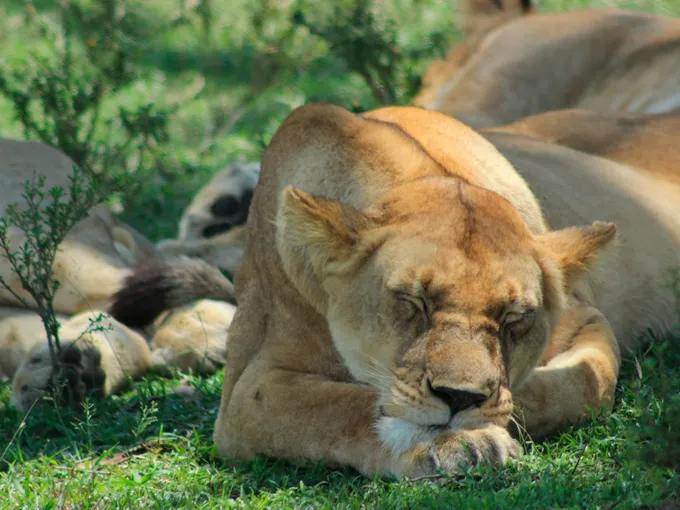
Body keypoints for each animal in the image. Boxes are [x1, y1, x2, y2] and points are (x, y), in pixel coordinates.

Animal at [108, 103, 680, 478]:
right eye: (412, 302)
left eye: (514, 318)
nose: (460, 399)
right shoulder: (248, 389)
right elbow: (337, 407)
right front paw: (450, 439)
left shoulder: (584, 318)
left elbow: (586, 382)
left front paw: (491, 417)